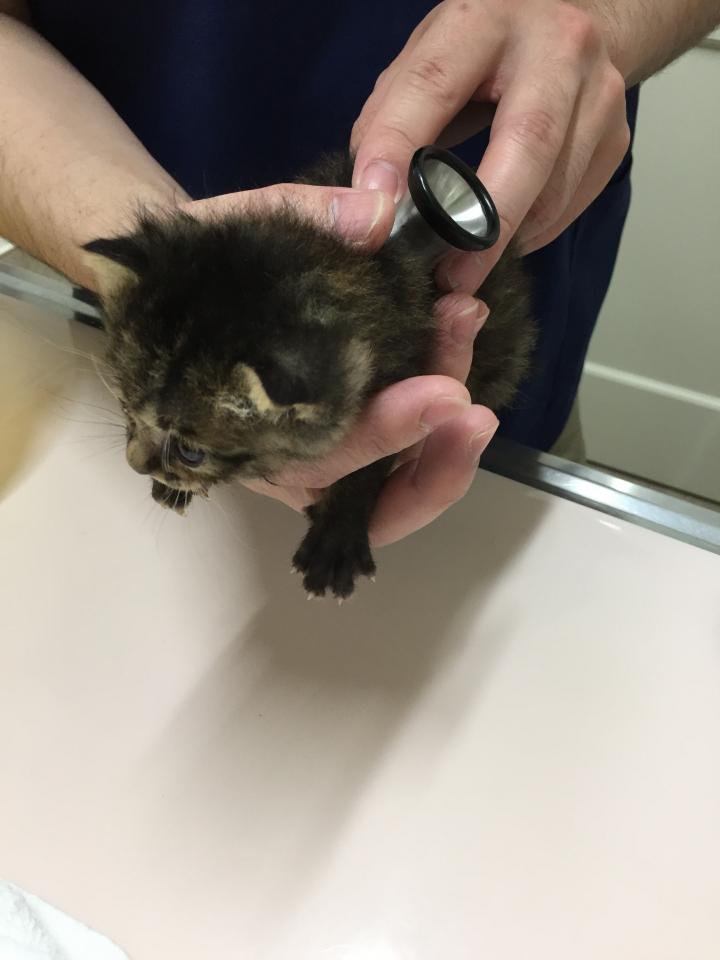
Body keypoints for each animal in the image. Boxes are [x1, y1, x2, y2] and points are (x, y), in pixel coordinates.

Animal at [83, 152, 535, 598]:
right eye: (124, 406)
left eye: (191, 451)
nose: (135, 464)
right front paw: (174, 486)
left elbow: (363, 470)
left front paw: (337, 535)